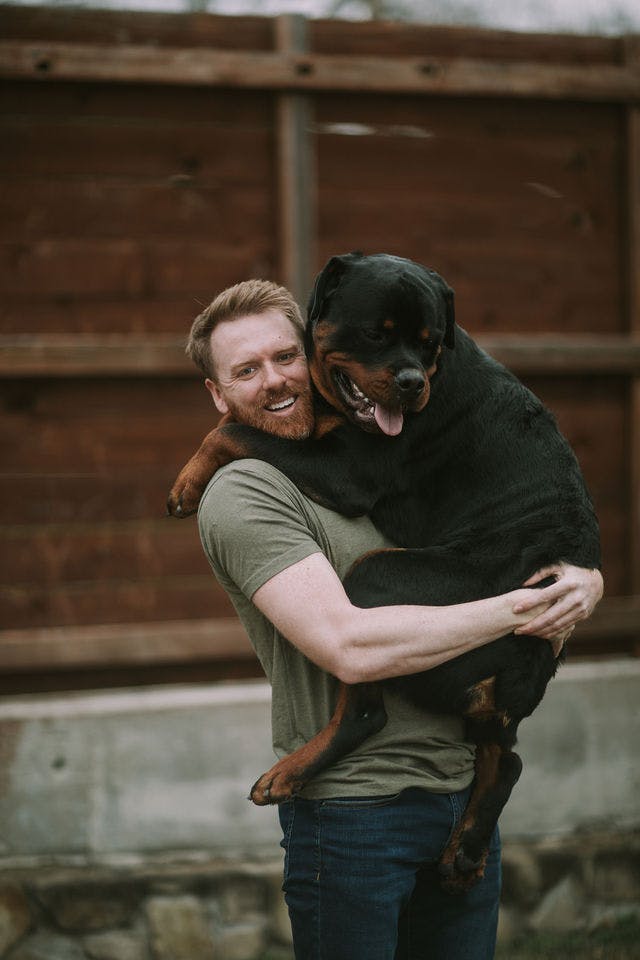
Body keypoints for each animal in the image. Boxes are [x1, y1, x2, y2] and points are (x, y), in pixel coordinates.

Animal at [166, 255, 600, 892]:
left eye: (429, 343)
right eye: (376, 333)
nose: (413, 382)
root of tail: (532, 654)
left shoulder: (350, 471)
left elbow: (235, 430)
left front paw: (188, 479)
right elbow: (256, 428)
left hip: (381, 580)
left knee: (368, 712)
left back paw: (290, 772)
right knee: (508, 758)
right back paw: (466, 851)